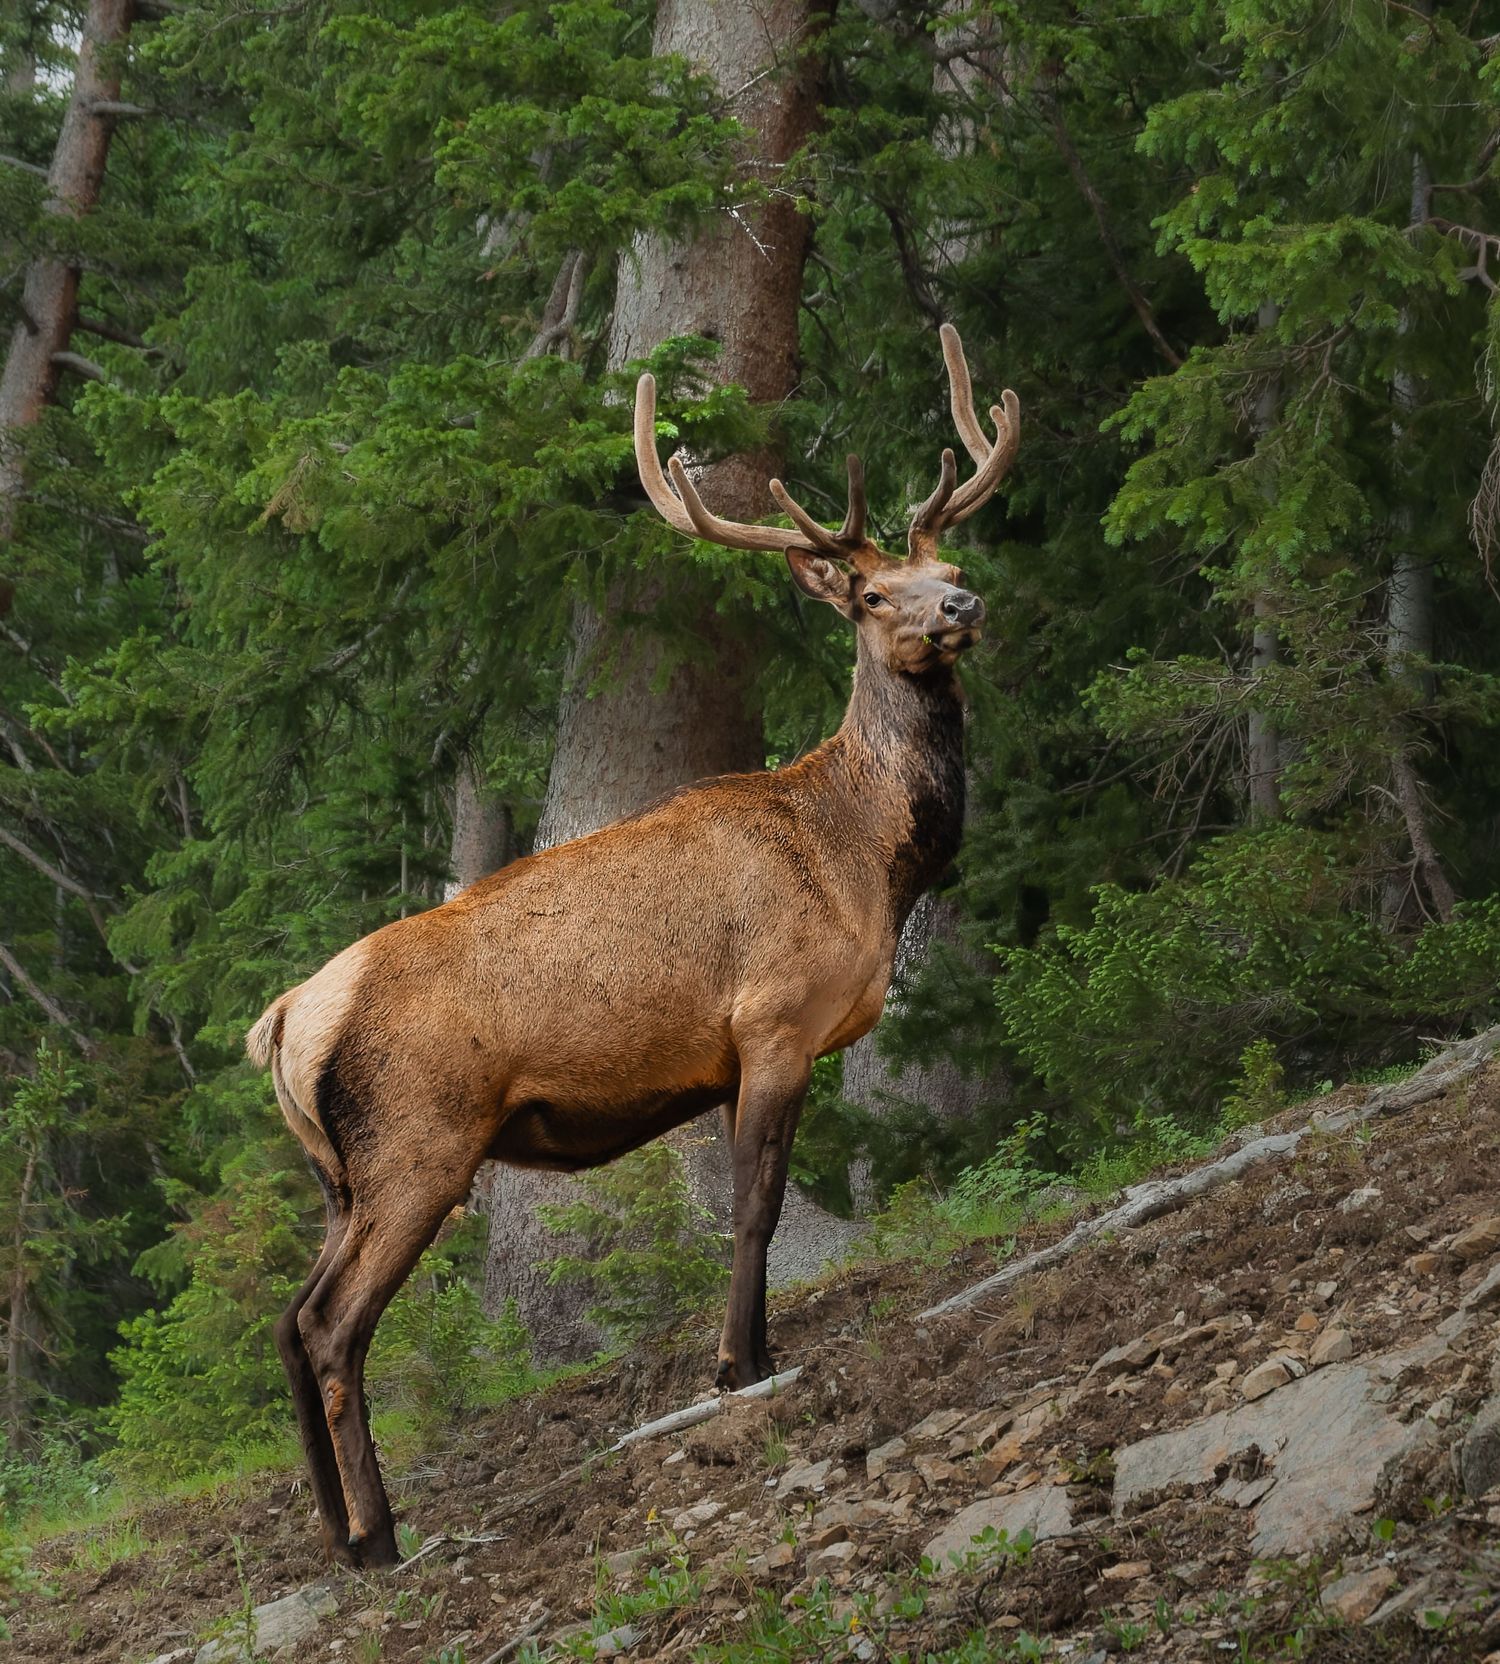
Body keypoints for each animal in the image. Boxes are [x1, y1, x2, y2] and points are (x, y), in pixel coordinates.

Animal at [245, 324, 1019, 1569]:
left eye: (943, 555)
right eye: (867, 589)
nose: (960, 600)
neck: (864, 857)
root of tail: (279, 1025)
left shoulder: (755, 1049)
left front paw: (752, 1350)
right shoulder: (773, 1017)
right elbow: (756, 1202)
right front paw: (740, 1363)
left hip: (337, 1173)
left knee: (287, 1317)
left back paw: (340, 1528)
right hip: (419, 1143)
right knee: (330, 1324)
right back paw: (382, 1533)